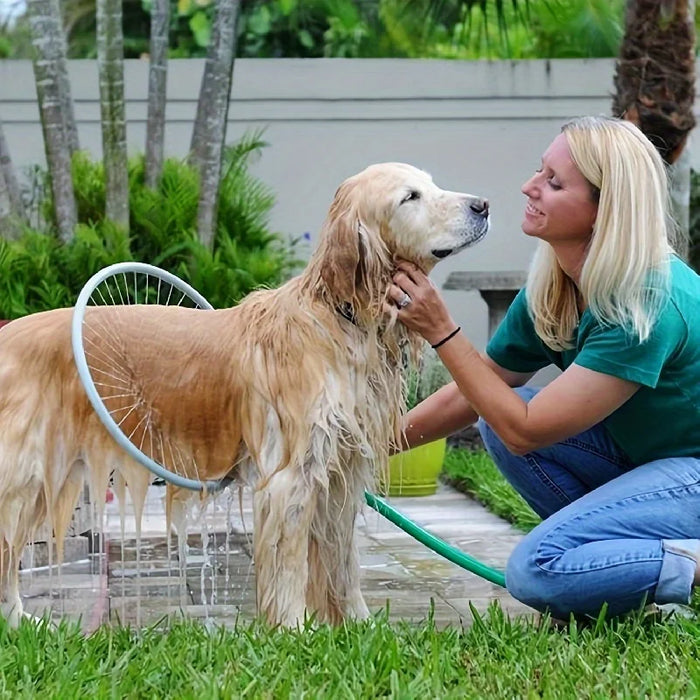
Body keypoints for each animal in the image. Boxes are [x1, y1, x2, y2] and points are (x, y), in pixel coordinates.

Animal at [0, 163, 490, 628]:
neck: (341, 316)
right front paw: (294, 628)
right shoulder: (291, 476)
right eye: (410, 197)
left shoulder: (341, 473)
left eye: (431, 184)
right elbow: (290, 566)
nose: (483, 205)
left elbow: (343, 563)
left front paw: (359, 625)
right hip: (22, 478)